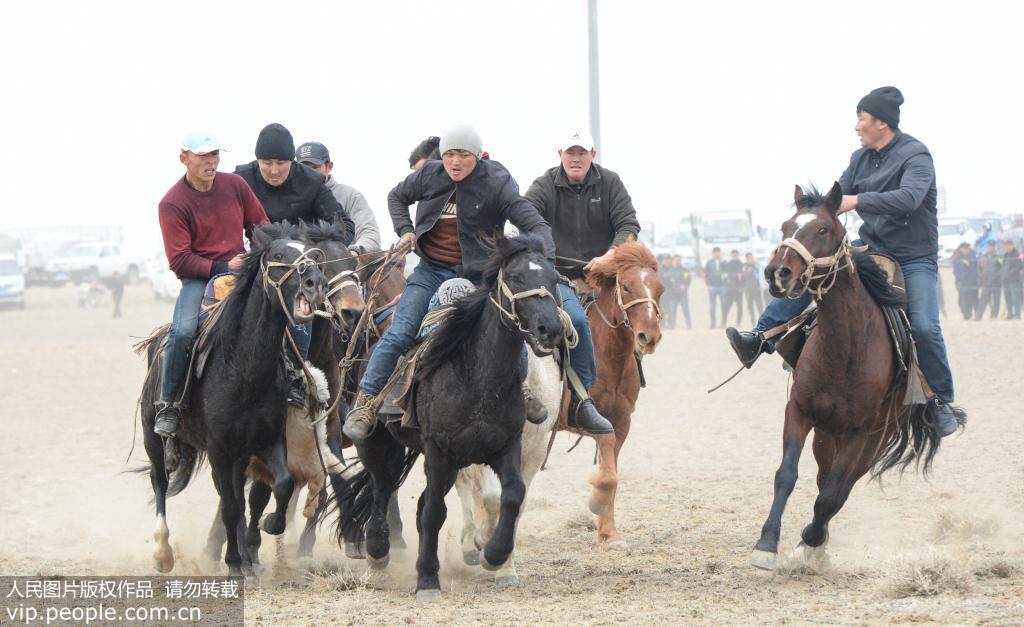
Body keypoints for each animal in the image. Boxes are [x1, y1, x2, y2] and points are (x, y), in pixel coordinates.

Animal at [138, 223, 325, 573]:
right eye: (278, 255)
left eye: (312, 253)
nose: (315, 283)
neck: (242, 368)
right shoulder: (219, 449)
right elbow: (230, 505)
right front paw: (234, 564)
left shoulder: (269, 440)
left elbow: (280, 486)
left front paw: (268, 527)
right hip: (152, 435)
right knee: (160, 481)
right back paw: (163, 552)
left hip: (239, 454)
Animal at [331, 232, 565, 598]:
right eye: (515, 277)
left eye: (553, 278)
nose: (550, 329)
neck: (477, 377)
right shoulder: (440, 451)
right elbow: (434, 513)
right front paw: (428, 578)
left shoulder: (507, 446)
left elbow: (512, 494)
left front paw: (495, 555)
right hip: (378, 442)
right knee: (383, 484)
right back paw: (378, 550)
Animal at [577, 242, 663, 545]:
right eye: (625, 287)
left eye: (660, 289)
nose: (649, 336)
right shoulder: (587, 418)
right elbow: (606, 475)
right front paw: (595, 502)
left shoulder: (621, 422)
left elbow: (611, 474)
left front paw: (608, 532)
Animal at [749, 183, 954, 569]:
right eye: (785, 227)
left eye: (823, 229)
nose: (777, 273)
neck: (845, 347)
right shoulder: (799, 411)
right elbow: (787, 475)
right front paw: (766, 545)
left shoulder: (863, 432)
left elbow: (832, 497)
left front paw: (810, 541)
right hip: (827, 435)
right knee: (823, 478)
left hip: (873, 440)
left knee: (840, 487)